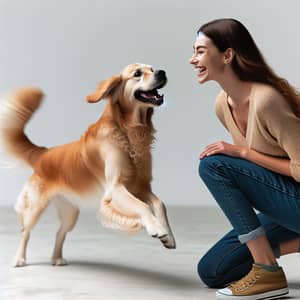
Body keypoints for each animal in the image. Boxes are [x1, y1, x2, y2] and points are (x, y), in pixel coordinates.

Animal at [0, 63, 176, 268]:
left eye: (152, 69)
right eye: (137, 74)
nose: (162, 72)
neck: (128, 131)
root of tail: (43, 153)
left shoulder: (141, 187)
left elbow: (160, 204)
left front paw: (168, 236)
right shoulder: (116, 188)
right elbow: (142, 206)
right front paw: (156, 228)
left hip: (70, 212)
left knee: (60, 232)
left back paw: (57, 258)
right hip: (36, 207)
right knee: (25, 231)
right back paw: (19, 259)